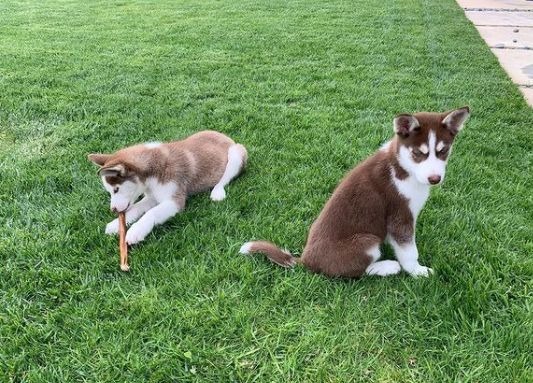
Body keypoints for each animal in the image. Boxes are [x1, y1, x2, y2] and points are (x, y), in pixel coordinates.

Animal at [89, 131, 247, 246]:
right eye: (110, 191)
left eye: (116, 189)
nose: (113, 210)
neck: (151, 175)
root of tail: (224, 135)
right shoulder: (151, 197)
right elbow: (135, 208)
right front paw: (116, 224)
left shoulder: (175, 201)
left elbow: (151, 213)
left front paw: (136, 231)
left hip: (237, 153)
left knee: (225, 178)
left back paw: (217, 192)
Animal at [239, 106, 468, 278]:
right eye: (418, 153)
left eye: (443, 151)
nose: (435, 179)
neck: (403, 167)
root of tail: (305, 260)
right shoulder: (399, 216)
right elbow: (409, 251)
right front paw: (418, 271)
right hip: (367, 242)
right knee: (356, 272)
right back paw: (387, 267)